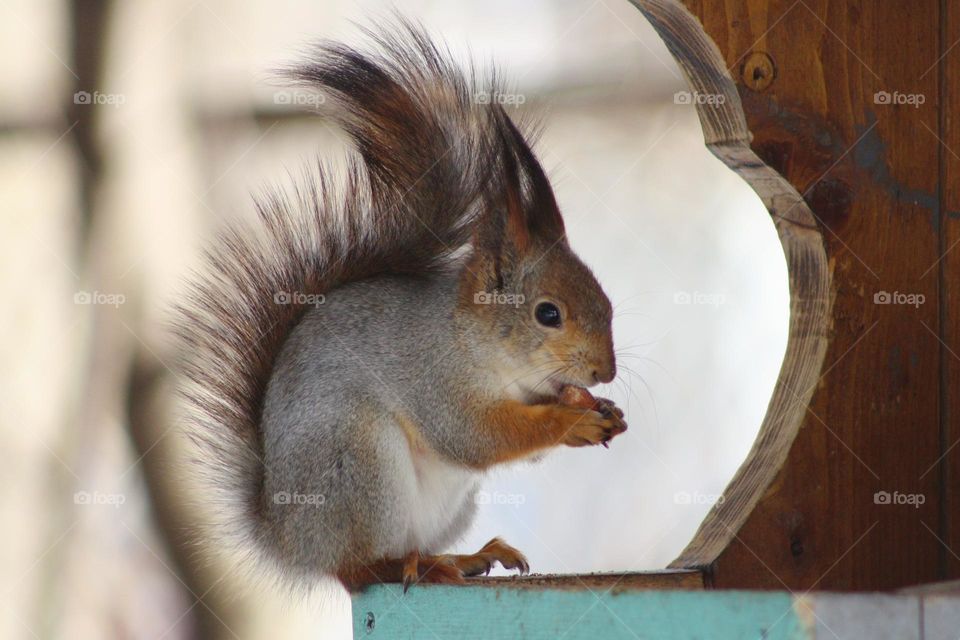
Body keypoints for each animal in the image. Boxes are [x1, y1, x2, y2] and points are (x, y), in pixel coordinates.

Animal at [175, 17, 627, 593]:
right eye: (548, 313)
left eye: (604, 297)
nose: (605, 372)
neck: (477, 343)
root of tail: (286, 538)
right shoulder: (435, 379)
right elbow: (477, 437)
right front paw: (574, 421)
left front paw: (597, 408)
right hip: (359, 464)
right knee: (355, 569)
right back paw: (413, 566)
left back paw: (462, 558)